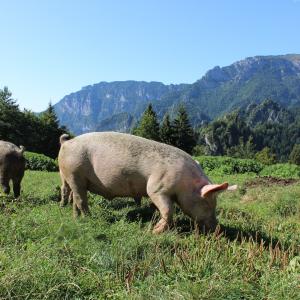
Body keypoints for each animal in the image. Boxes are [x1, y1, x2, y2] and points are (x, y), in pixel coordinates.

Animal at [58, 132, 237, 233]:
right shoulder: (156, 188)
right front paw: (155, 231)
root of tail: (67, 142)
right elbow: (168, 210)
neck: (185, 183)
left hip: (73, 178)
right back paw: (89, 219)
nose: (218, 229)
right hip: (74, 173)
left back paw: (76, 218)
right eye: (207, 203)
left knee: (76, 199)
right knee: (80, 199)